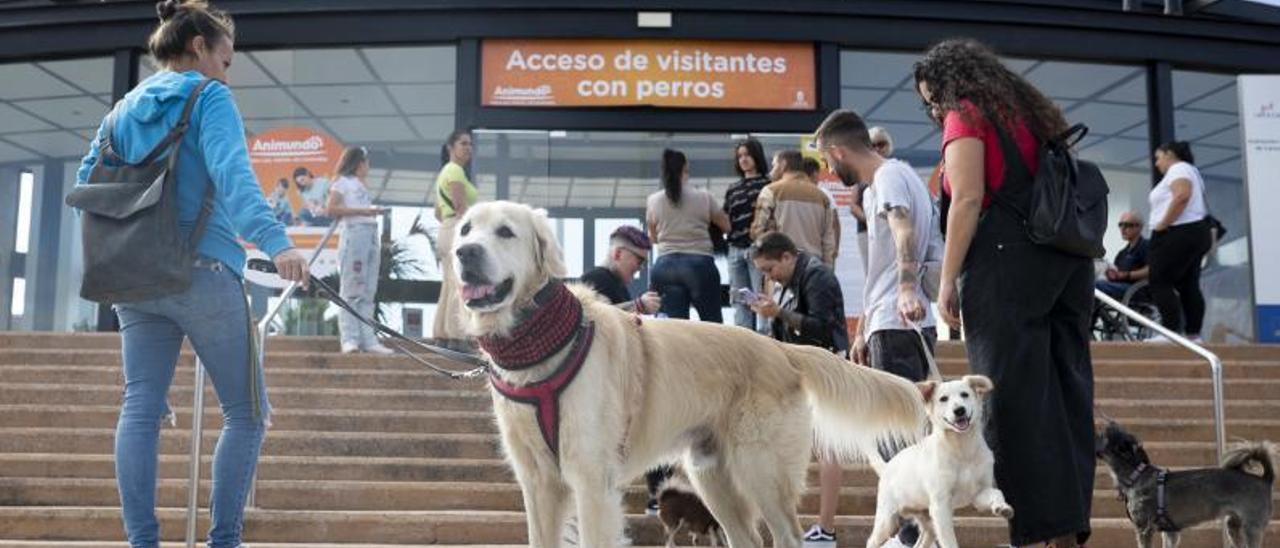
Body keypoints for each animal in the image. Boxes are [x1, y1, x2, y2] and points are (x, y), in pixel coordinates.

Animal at [453, 201, 931, 548]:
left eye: (505, 232)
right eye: (465, 229)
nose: (464, 253)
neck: (540, 341)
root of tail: (780, 348)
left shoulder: (590, 479)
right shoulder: (537, 484)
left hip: (761, 470)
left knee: (787, 537)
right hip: (712, 477)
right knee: (748, 539)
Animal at [865, 373, 1013, 548]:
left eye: (965, 394)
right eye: (943, 399)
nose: (959, 410)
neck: (962, 449)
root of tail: (887, 466)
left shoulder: (978, 494)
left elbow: (997, 492)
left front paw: (1002, 507)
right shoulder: (940, 505)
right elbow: (949, 541)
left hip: (927, 520)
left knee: (922, 541)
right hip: (888, 521)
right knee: (871, 540)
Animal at [1095, 422, 1274, 545]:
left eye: (1102, 435)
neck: (1137, 474)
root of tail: (1264, 479)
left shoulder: (1144, 529)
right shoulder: (1170, 533)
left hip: (1251, 527)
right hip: (1233, 526)